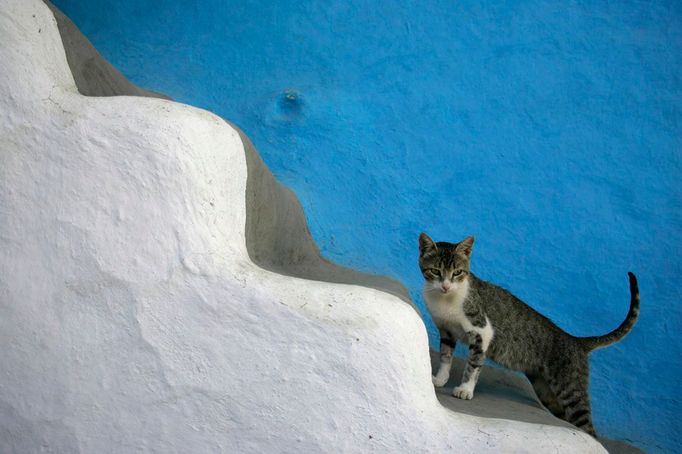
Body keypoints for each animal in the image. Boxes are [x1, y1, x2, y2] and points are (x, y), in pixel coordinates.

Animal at [420, 234, 636, 436]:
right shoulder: (446, 330)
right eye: (436, 271)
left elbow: (473, 364)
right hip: (546, 391)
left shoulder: (482, 331)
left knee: (588, 428)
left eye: (457, 272)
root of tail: (576, 341)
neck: (446, 300)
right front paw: (440, 379)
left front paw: (465, 389)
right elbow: (446, 356)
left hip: (571, 390)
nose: (446, 286)